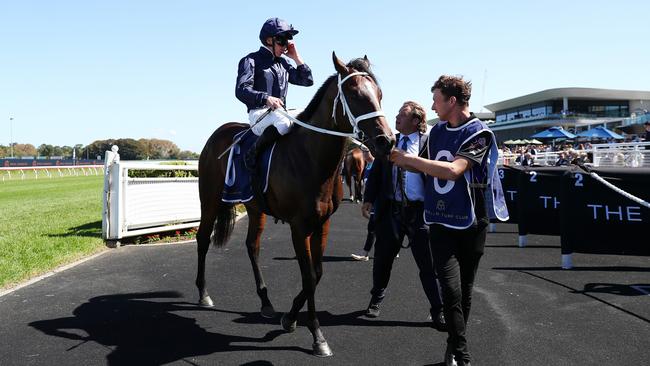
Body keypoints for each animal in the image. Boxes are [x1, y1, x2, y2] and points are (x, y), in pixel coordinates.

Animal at [195, 53, 392, 356]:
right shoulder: (299, 227)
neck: (311, 158)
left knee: (252, 246)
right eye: (355, 94)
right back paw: (204, 294)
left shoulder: (323, 223)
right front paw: (318, 336)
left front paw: (289, 318)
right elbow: (309, 276)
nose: (387, 141)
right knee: (203, 238)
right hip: (210, 199)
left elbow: (318, 272)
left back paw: (266, 302)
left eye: (379, 94)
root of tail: (219, 132)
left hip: (255, 209)